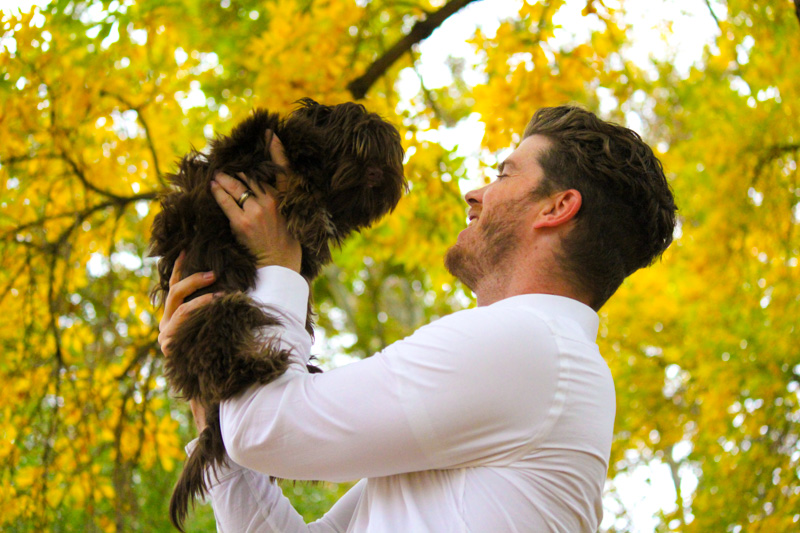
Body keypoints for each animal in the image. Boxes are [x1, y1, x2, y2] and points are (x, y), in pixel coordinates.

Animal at [148, 98, 406, 528]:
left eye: (385, 156)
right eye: (354, 145)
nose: (376, 174)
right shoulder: (245, 161)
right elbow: (295, 188)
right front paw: (308, 211)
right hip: (220, 308)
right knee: (216, 358)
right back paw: (259, 365)